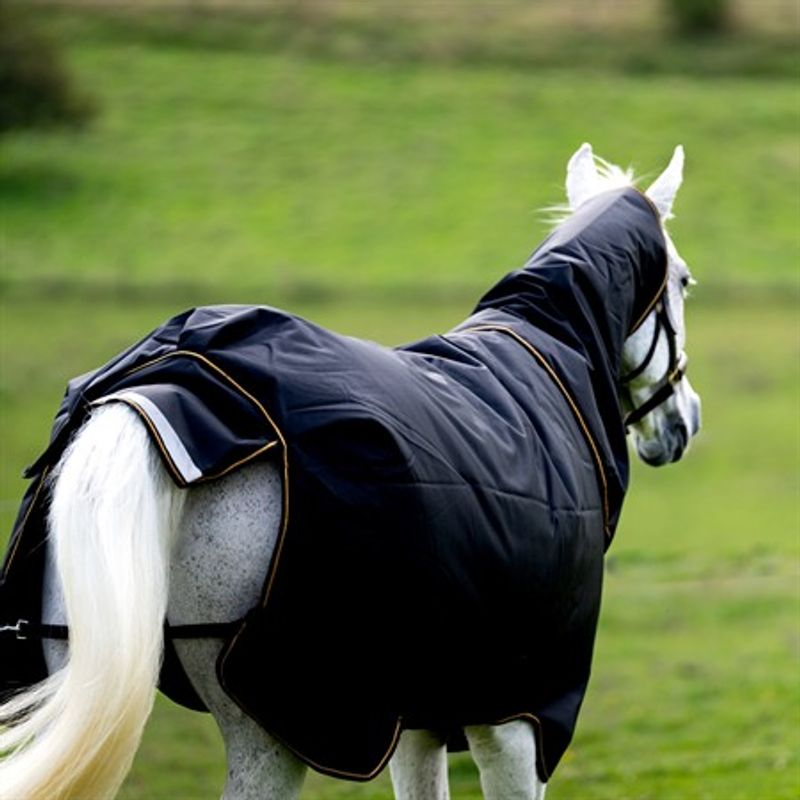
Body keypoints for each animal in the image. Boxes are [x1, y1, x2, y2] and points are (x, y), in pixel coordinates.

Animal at [0, 143, 701, 800]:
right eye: (686, 282)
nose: (685, 421)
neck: (550, 348)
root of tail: (164, 387)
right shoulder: (519, 720)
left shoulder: (421, 718)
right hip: (273, 724)